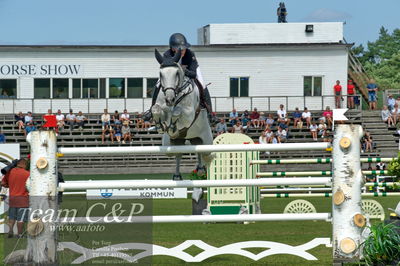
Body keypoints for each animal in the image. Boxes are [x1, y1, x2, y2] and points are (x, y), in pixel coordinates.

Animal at [151, 48, 214, 180]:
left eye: (176, 74)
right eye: (160, 74)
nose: (169, 99)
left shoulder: (189, 115)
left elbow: (177, 111)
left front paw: (172, 127)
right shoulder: (162, 108)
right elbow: (156, 109)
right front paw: (160, 126)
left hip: (207, 142)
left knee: (202, 152)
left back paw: (201, 170)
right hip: (170, 145)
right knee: (179, 153)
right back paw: (178, 175)